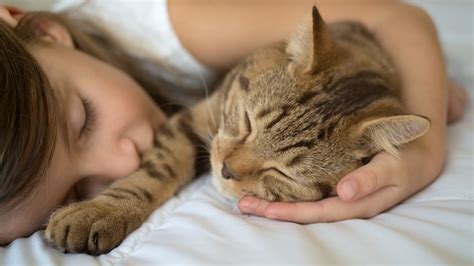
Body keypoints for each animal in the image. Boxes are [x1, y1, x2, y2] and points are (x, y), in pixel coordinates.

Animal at [44, 7, 430, 255]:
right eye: (247, 122)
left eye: (282, 173)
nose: (226, 169)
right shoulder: (193, 119)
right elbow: (155, 172)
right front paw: (101, 212)